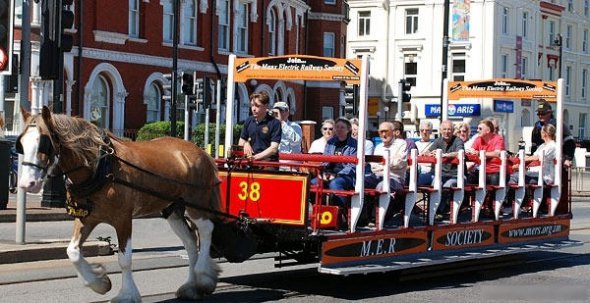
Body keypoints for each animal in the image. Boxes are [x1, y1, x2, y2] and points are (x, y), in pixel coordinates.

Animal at [17, 106, 224, 302]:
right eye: (22, 144)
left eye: (43, 143)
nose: (27, 183)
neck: (100, 168)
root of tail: (201, 152)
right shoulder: (87, 218)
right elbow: (72, 251)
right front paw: (99, 282)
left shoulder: (123, 219)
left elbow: (124, 259)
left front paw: (126, 295)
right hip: (173, 211)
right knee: (190, 242)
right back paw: (191, 287)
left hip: (196, 204)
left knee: (206, 230)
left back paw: (203, 276)